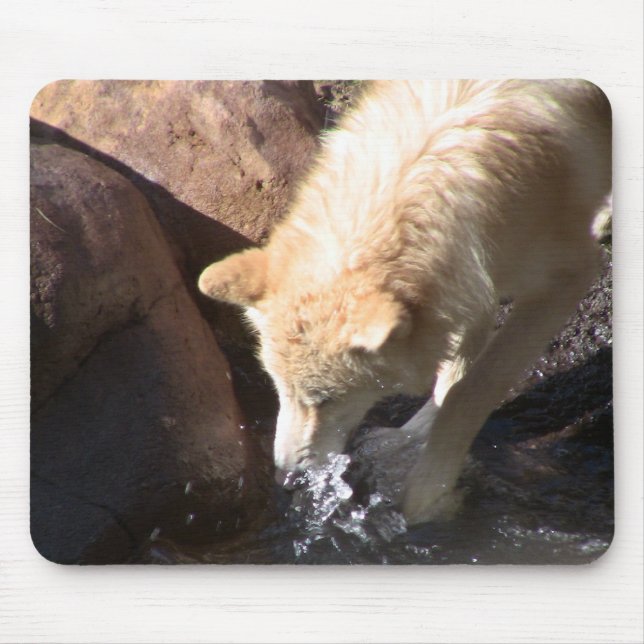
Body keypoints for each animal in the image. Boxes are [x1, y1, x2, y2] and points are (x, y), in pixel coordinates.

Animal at [198, 80, 611, 524]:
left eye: (326, 399)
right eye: (278, 389)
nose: (288, 480)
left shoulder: (566, 276)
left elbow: (472, 391)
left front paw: (428, 492)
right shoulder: (470, 276)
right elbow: (453, 376)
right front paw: (406, 440)